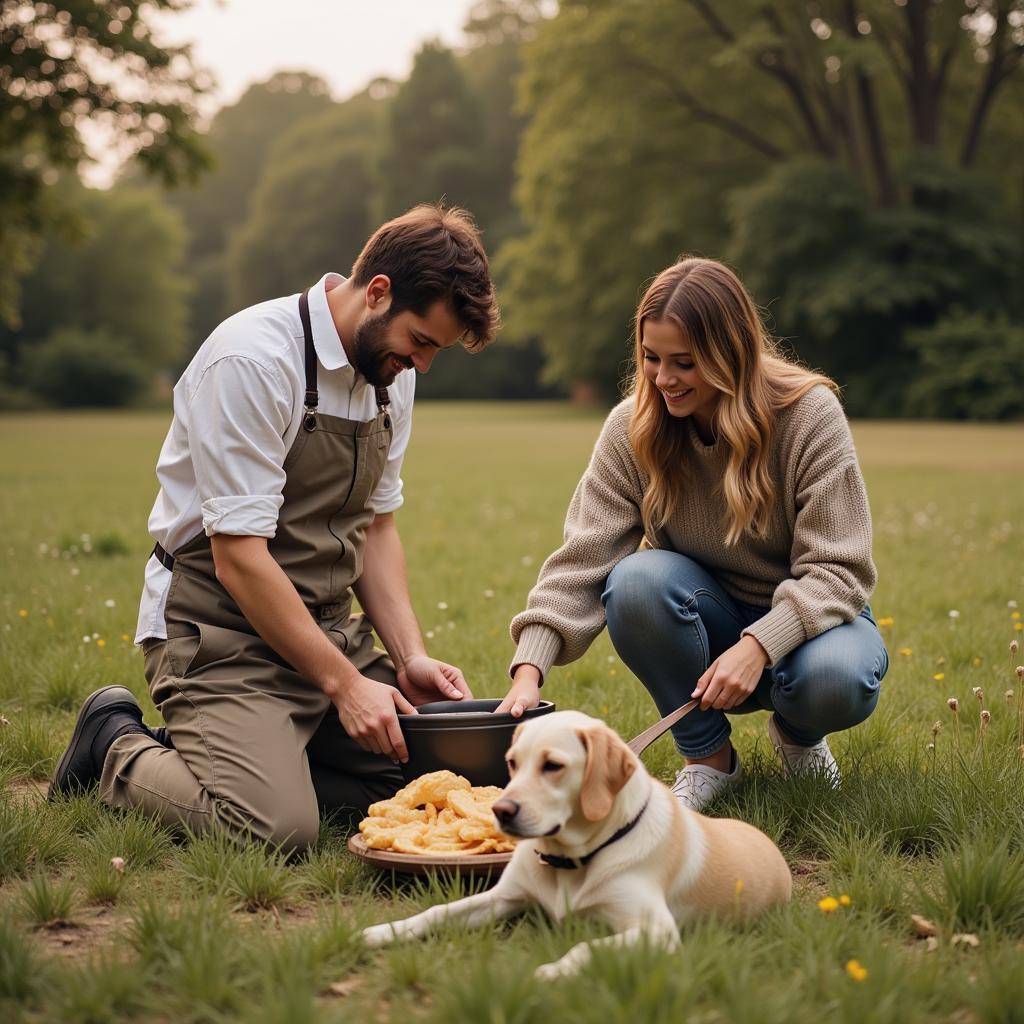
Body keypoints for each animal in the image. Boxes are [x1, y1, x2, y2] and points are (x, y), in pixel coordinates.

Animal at [360, 712, 790, 974]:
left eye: (553, 765)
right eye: (513, 762)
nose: (500, 811)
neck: (568, 861)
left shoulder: (657, 930)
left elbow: (586, 947)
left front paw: (550, 972)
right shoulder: (504, 896)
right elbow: (437, 912)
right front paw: (382, 933)